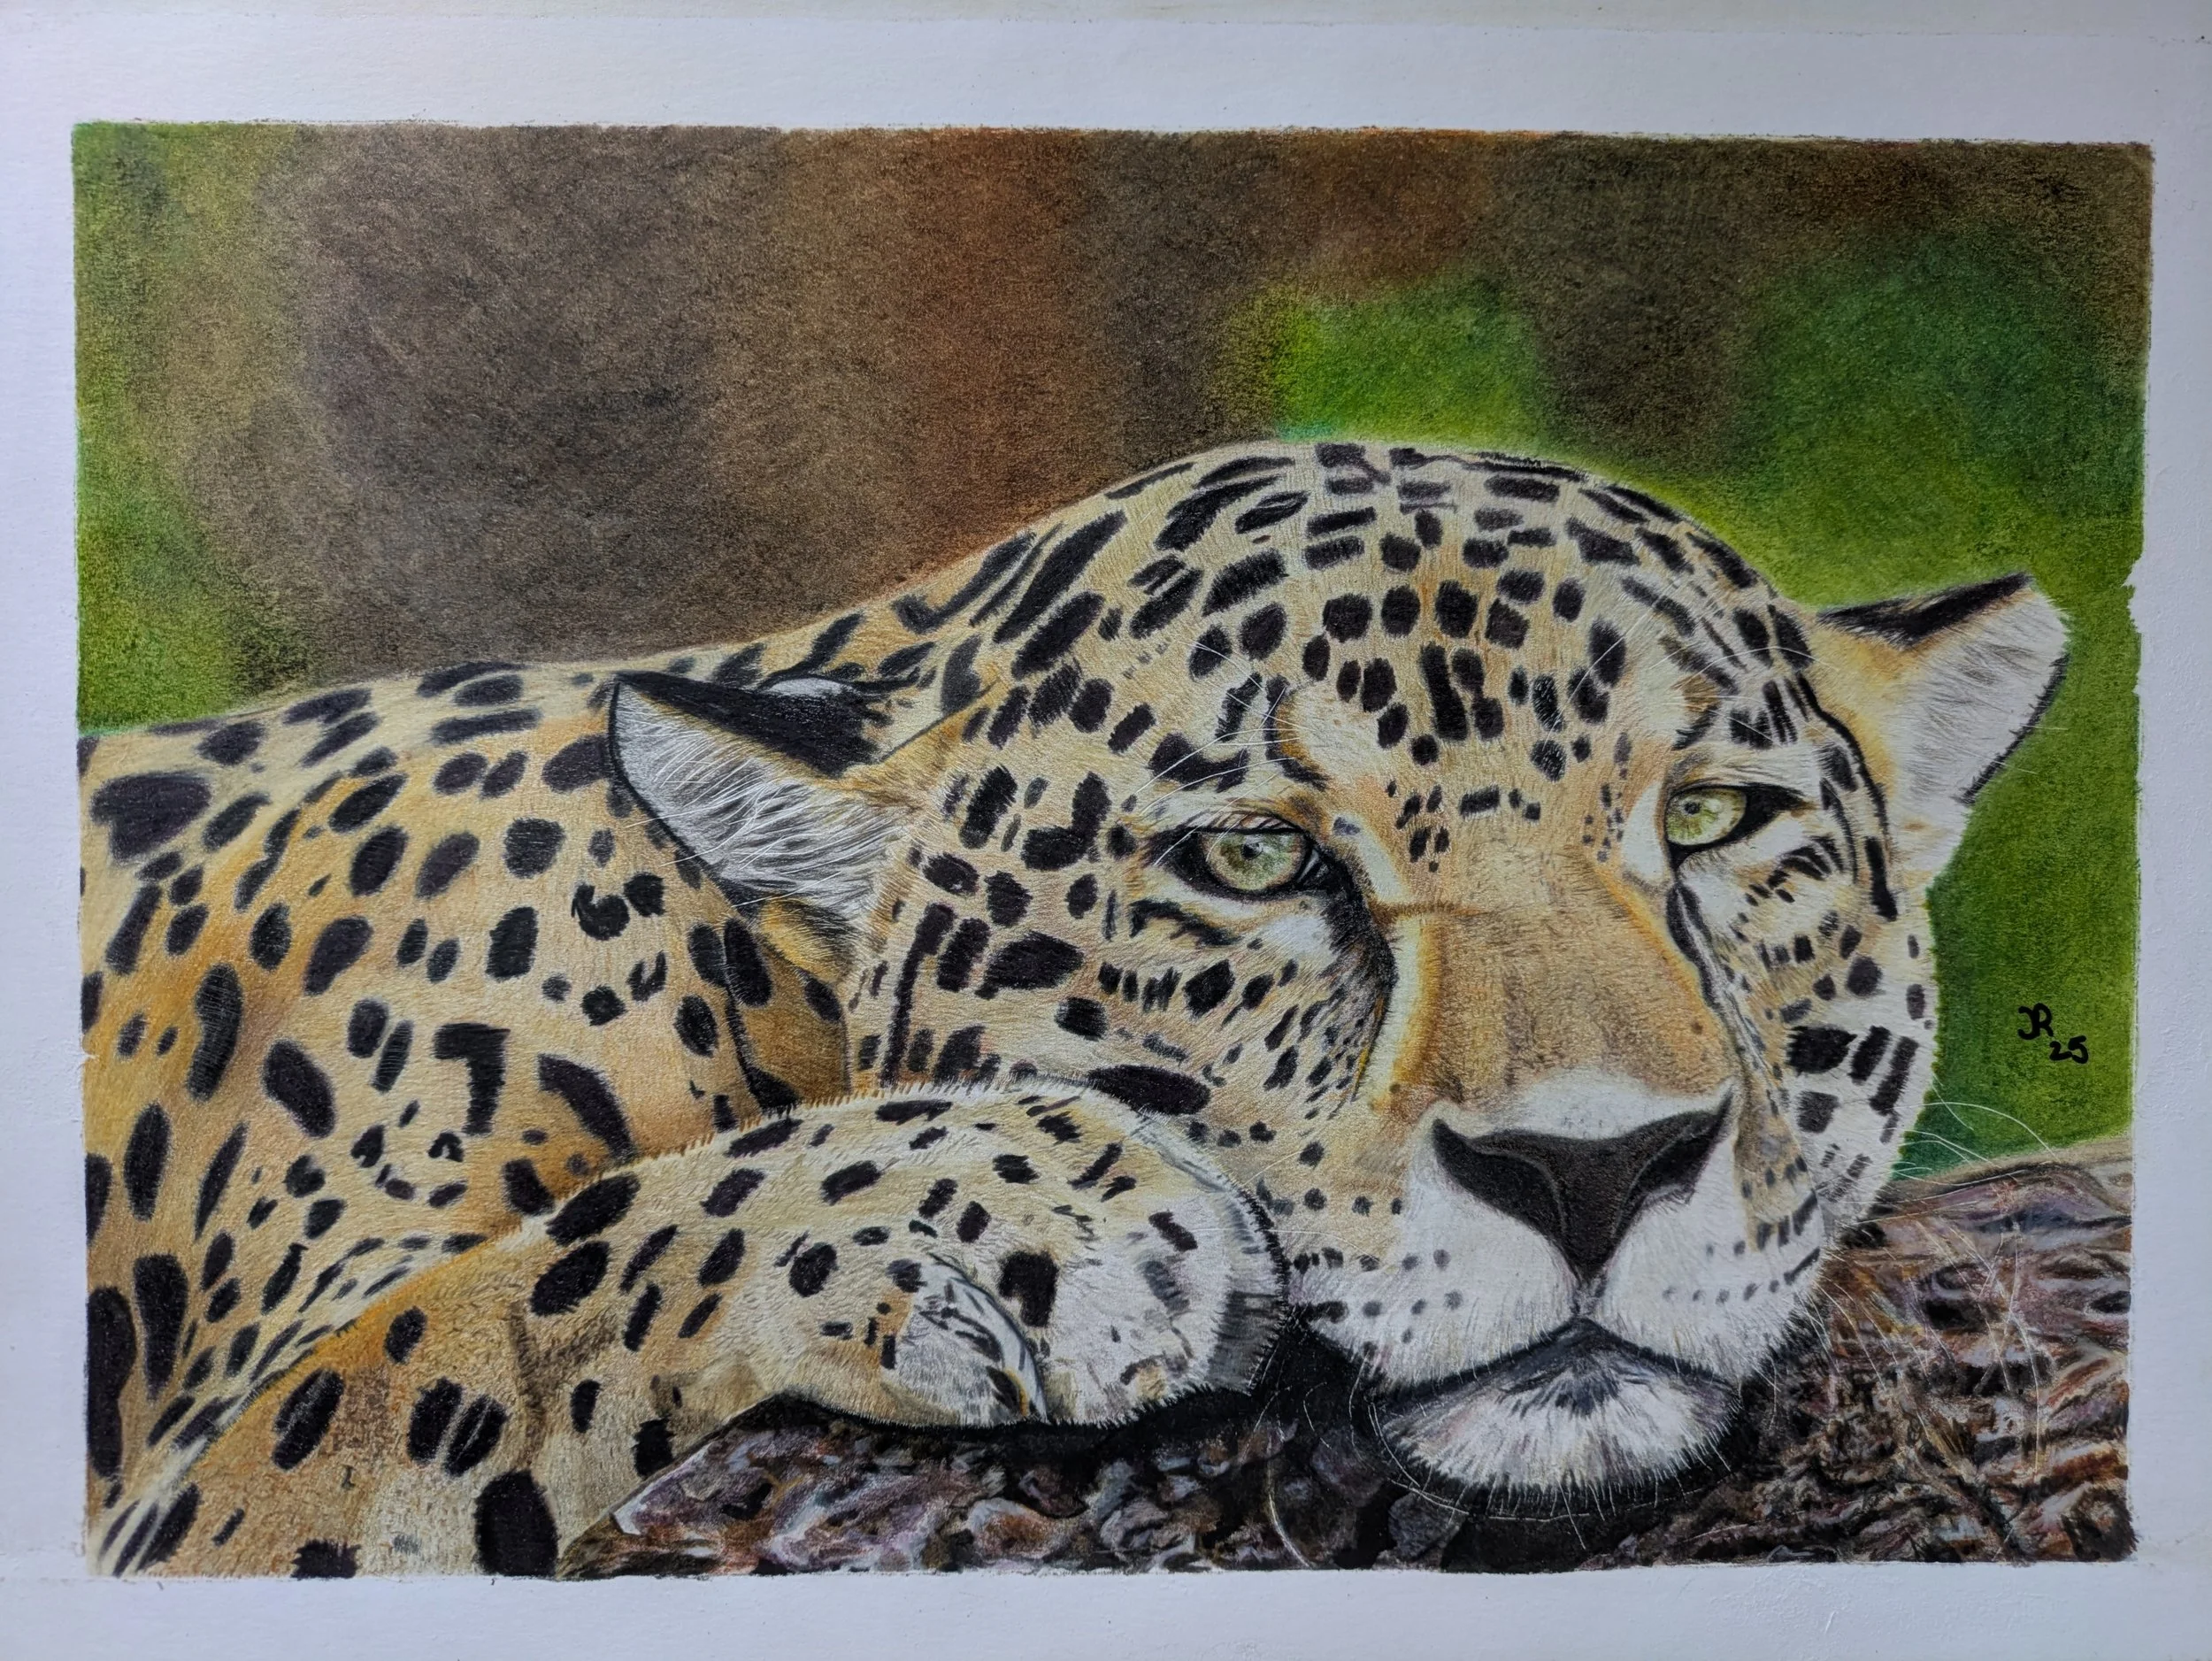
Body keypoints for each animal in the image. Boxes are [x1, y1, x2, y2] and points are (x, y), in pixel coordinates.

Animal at [78, 438, 2067, 1577]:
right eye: (1256, 859)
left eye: (1714, 821)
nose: (1592, 1171)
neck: (748, 988)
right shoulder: (207, 1497)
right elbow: (528, 1291)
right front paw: (1061, 1218)